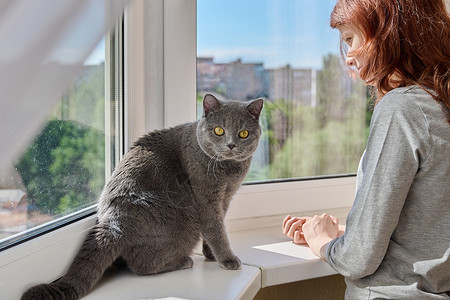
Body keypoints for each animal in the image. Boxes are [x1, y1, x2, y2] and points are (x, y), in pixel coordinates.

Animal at [22, 94, 264, 300]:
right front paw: (227, 259)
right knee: (141, 266)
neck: (229, 173)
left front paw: (211, 254)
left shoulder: (225, 198)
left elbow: (216, 227)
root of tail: (114, 224)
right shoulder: (206, 198)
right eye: (218, 131)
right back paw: (183, 261)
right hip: (184, 225)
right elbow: (215, 229)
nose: (231, 145)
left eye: (243, 133)